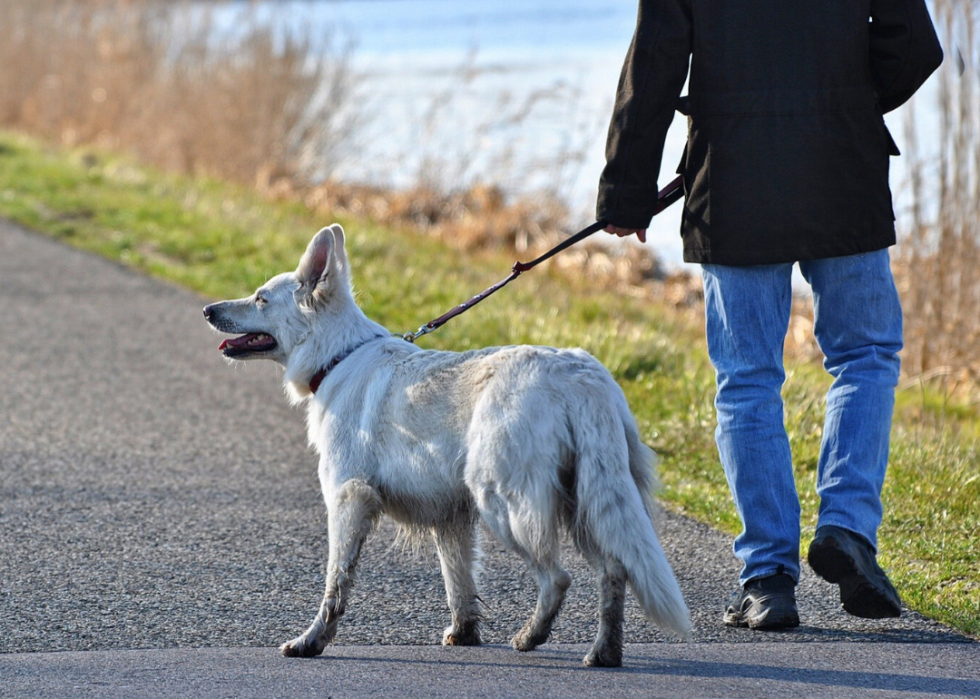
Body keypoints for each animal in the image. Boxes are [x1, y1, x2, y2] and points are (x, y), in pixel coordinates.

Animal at [201, 224, 688, 668]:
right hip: (585, 504)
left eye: (261, 299)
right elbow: (459, 584)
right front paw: (464, 634)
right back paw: (604, 652)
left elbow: (335, 583)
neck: (338, 356)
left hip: (506, 505)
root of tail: (581, 376)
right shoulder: (451, 518)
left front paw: (311, 641)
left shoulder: (348, 500)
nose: (207, 309)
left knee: (558, 578)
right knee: (614, 570)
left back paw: (531, 637)